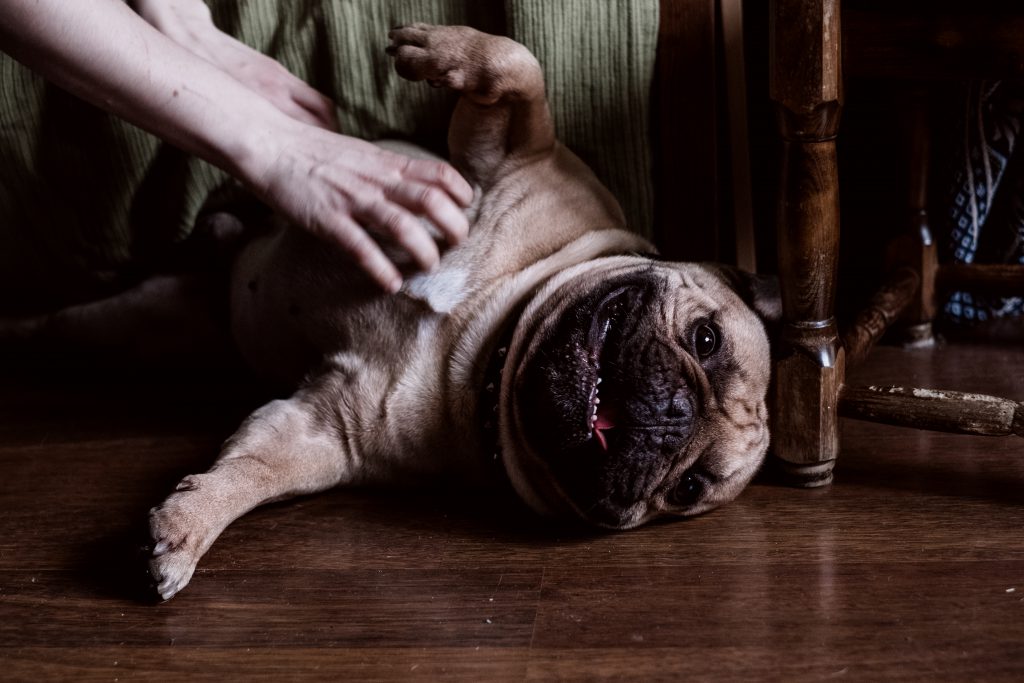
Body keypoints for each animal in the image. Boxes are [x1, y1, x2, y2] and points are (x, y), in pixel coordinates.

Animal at [4, 24, 778, 598]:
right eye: (705, 339)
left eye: (688, 486)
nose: (670, 413)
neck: (492, 342)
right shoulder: (519, 156)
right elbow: (519, 68)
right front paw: (438, 49)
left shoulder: (322, 430)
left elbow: (253, 471)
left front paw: (188, 526)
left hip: (142, 330)